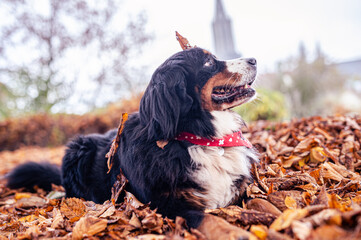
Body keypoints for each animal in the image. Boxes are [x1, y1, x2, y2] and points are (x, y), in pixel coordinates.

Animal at [7, 46, 258, 238]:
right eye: (208, 62)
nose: (254, 59)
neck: (198, 138)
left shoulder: (240, 190)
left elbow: (259, 201)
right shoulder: (170, 205)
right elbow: (209, 220)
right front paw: (237, 233)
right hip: (77, 148)